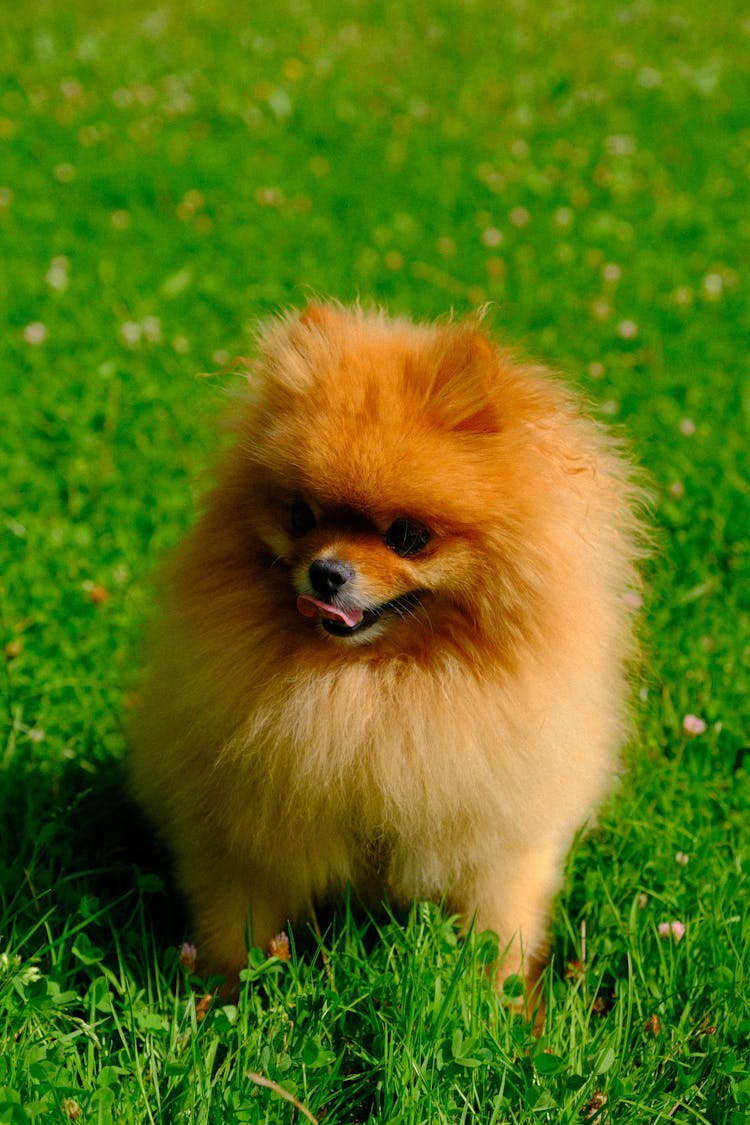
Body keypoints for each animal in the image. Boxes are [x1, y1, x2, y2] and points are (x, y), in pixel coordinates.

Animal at [129, 306, 647, 1003]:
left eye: (407, 537)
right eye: (300, 517)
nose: (325, 573)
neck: (375, 686)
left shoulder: (499, 840)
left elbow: (501, 932)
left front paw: (503, 1006)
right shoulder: (242, 835)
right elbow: (235, 925)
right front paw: (222, 999)